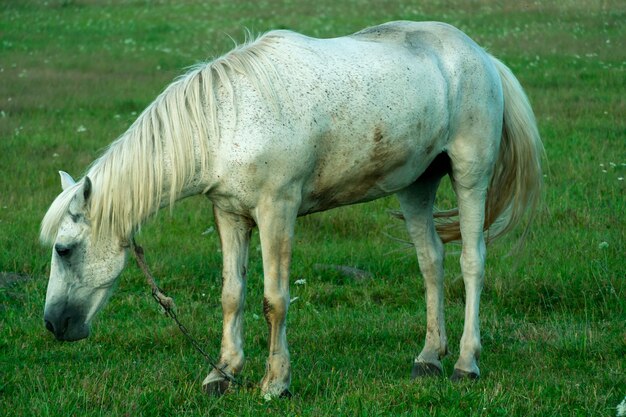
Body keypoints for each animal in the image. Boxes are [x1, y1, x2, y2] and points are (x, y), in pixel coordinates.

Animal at [42, 22, 540, 396]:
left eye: (64, 249)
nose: (51, 324)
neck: (227, 120)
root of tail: (481, 55)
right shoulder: (229, 216)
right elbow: (232, 295)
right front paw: (221, 373)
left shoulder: (276, 212)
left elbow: (274, 300)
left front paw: (275, 383)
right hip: (417, 184)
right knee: (431, 262)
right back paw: (428, 358)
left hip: (470, 176)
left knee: (471, 262)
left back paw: (465, 363)